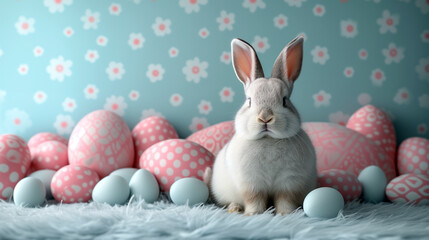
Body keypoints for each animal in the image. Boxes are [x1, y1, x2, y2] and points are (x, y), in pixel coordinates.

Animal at [206, 35, 316, 216]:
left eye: (285, 100)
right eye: (249, 101)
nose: (265, 117)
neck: (268, 139)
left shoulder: (289, 183)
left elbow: (285, 200)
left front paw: (285, 214)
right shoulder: (252, 183)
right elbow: (254, 199)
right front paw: (254, 214)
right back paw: (234, 209)